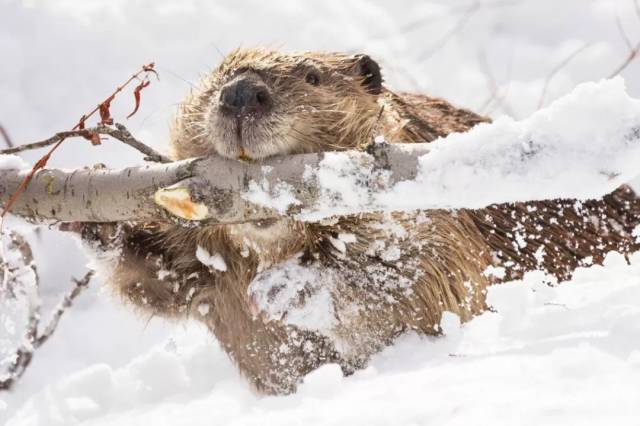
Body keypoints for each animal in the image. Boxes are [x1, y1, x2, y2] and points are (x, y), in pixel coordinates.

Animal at [80, 48, 640, 394]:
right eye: (217, 77)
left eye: (312, 76)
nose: (240, 95)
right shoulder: (213, 268)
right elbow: (161, 280)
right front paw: (97, 217)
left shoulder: (440, 217)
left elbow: (433, 279)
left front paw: (288, 288)